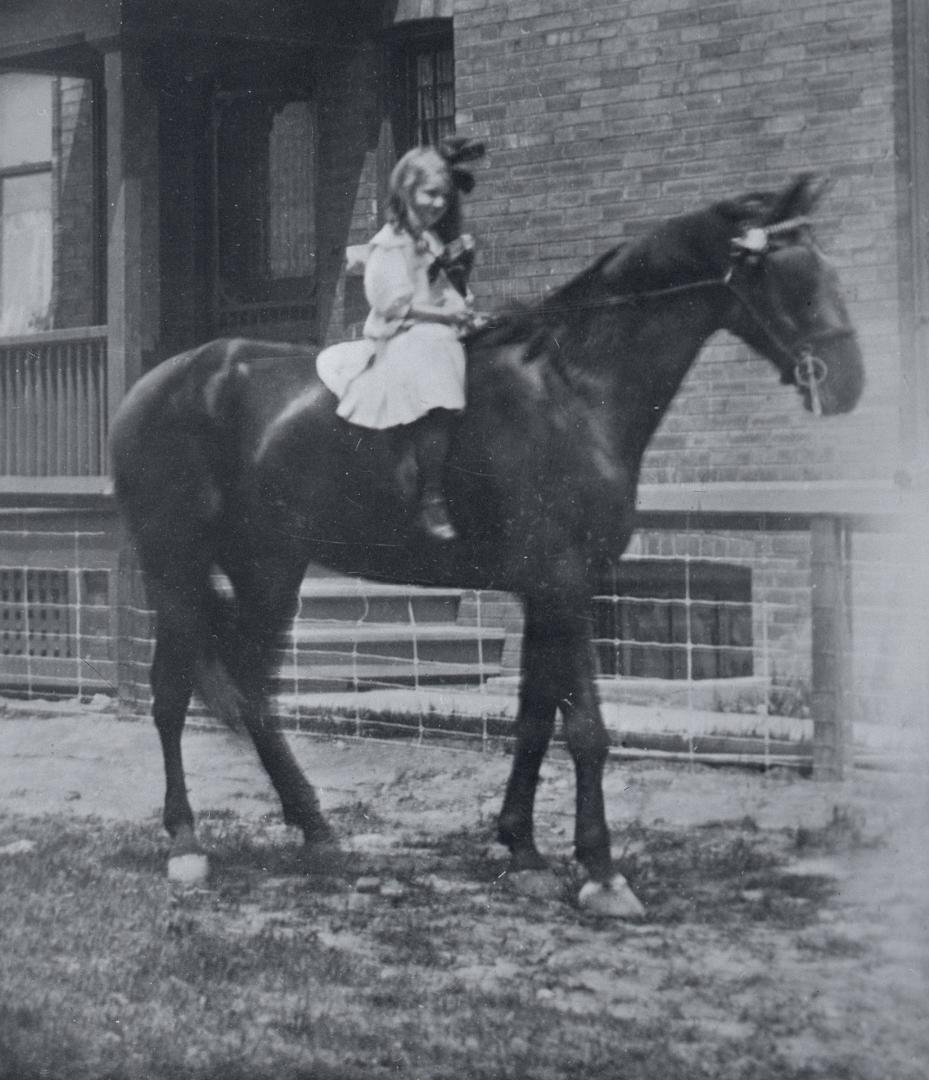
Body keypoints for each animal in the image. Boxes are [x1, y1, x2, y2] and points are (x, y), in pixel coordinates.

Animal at [109, 172, 864, 915]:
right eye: (788, 276)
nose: (849, 382)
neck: (572, 388)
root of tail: (154, 385)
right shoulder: (566, 581)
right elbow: (585, 728)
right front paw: (601, 870)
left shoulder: (544, 589)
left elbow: (533, 718)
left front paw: (521, 847)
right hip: (178, 565)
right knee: (172, 694)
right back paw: (188, 844)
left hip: (266, 566)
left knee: (251, 691)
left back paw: (315, 829)